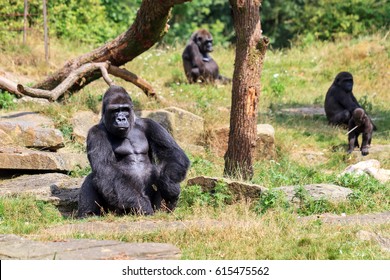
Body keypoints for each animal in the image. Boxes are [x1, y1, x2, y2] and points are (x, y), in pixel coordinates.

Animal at [77, 86, 190, 218]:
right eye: (115, 110)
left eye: (125, 109)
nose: (121, 118)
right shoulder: (95, 133)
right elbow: (106, 169)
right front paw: (143, 206)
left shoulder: (149, 124)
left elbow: (172, 152)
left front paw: (169, 185)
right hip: (117, 210)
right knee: (94, 177)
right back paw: (88, 213)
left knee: (162, 171)